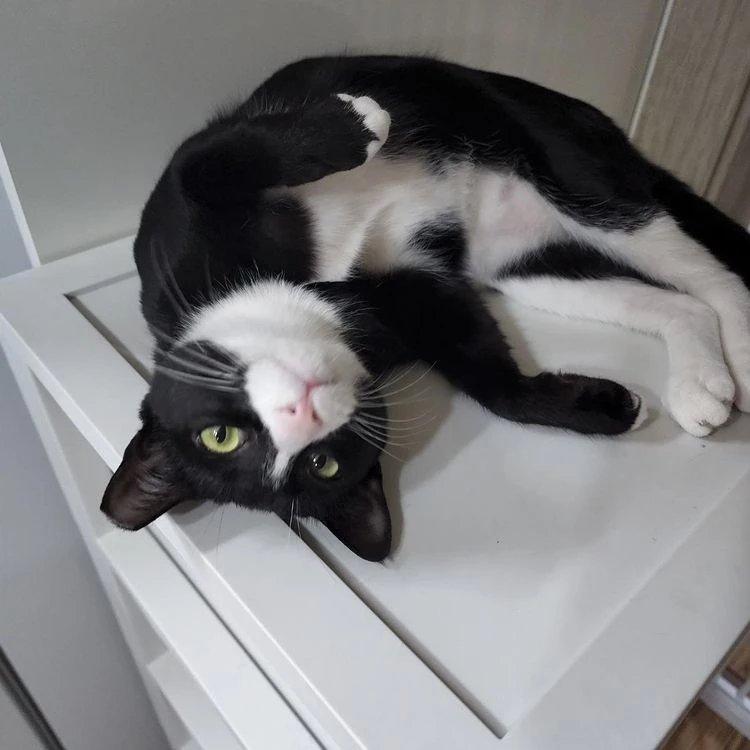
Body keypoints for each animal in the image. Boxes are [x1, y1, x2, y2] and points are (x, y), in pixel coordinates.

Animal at [101, 55, 750, 561]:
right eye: (323, 465)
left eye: (218, 436)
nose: (301, 412)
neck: (315, 295)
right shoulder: (421, 300)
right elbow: (496, 383)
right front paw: (607, 406)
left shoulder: (179, 207)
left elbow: (220, 158)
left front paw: (354, 124)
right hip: (535, 268)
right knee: (680, 300)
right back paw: (700, 383)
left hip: (571, 166)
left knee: (711, 272)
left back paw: (742, 350)